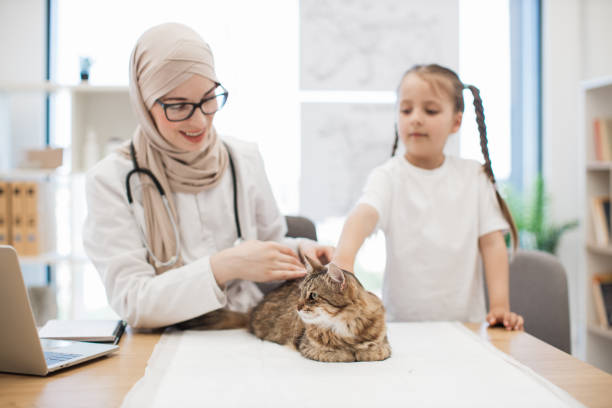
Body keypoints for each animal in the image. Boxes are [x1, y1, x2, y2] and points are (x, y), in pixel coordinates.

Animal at [175, 255, 390, 364]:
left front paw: (360, 351)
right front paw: (349, 353)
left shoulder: (384, 344)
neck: (345, 325)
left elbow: (375, 350)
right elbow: (338, 354)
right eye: (300, 293)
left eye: (312, 296)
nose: (297, 306)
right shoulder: (307, 346)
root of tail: (252, 310)